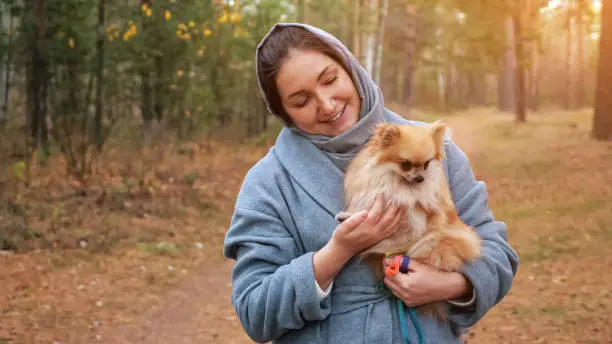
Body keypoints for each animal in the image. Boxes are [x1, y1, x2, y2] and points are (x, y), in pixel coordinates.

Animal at [338, 121, 480, 320]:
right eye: (405, 164)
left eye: (426, 164)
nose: (420, 178)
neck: (400, 185)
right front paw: (349, 217)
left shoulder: (419, 220)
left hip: (441, 239)